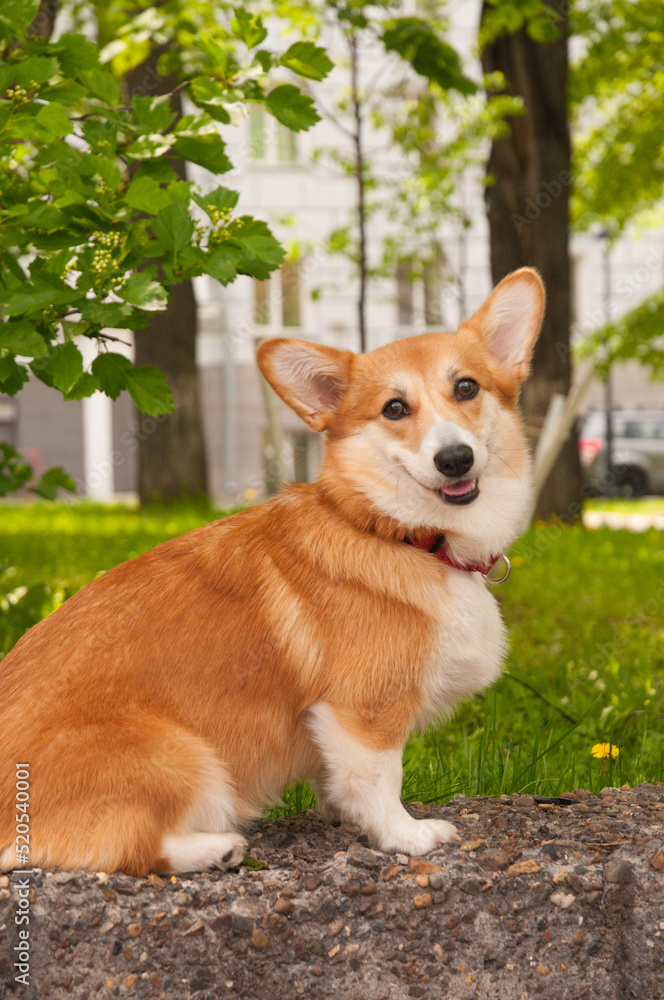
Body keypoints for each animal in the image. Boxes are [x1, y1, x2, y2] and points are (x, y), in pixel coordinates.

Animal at [0, 268, 544, 876]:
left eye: (467, 388)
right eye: (394, 409)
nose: (455, 459)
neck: (393, 531)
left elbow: (338, 781)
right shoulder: (364, 712)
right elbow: (378, 780)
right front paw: (406, 835)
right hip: (187, 756)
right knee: (128, 848)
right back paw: (217, 847)